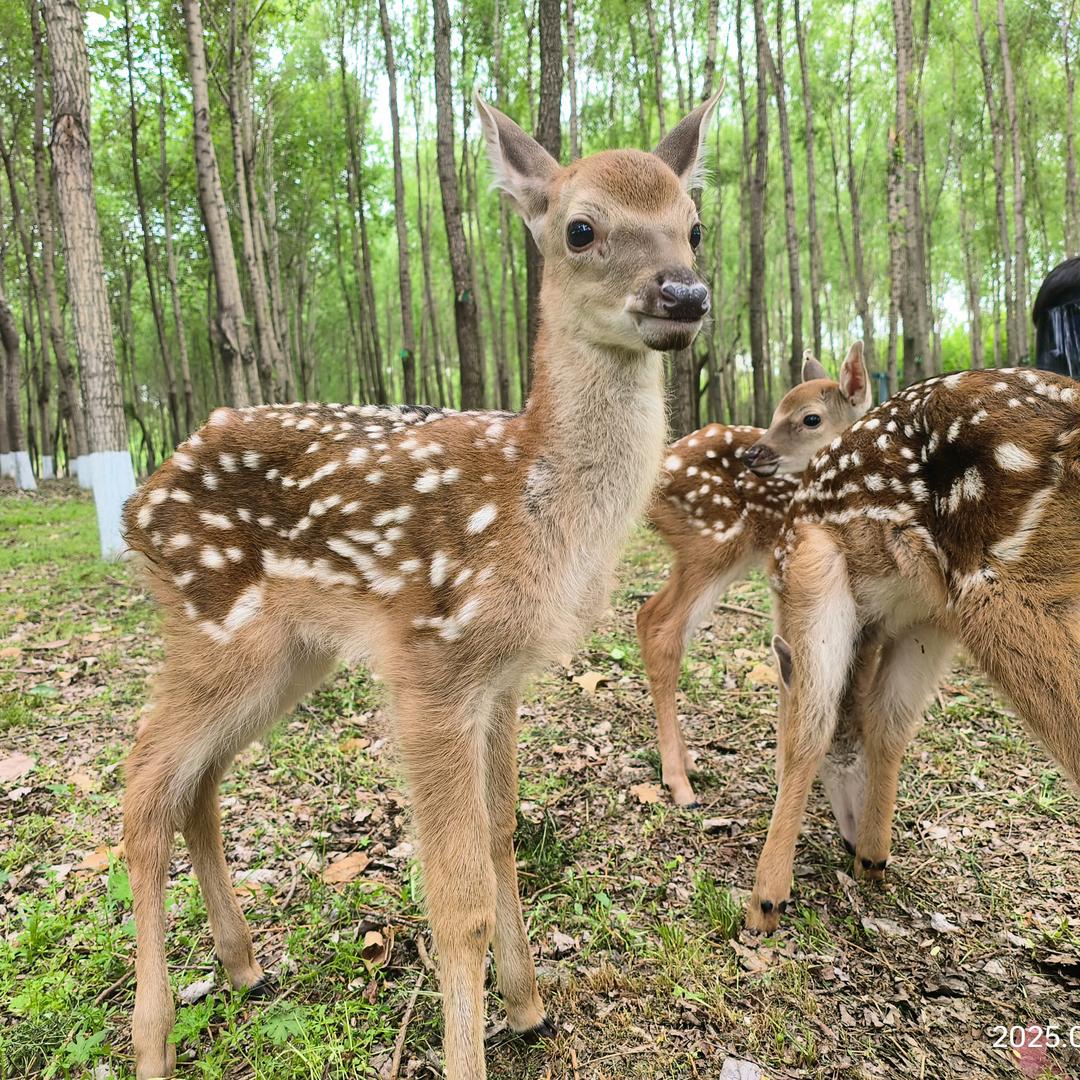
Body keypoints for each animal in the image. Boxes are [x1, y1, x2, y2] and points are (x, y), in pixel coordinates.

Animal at [119, 91, 720, 1080]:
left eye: (695, 226)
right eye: (580, 228)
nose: (683, 295)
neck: (535, 506)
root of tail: (136, 505)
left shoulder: (502, 679)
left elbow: (503, 838)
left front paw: (528, 1008)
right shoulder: (431, 665)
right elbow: (455, 899)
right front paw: (478, 1041)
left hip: (287, 655)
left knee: (195, 786)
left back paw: (245, 966)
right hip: (214, 628)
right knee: (140, 786)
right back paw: (154, 1040)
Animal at [637, 342, 872, 810]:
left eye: (811, 418)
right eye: (778, 408)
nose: (754, 455)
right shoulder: (785, 568)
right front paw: (785, 776)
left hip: (700, 550)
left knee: (647, 615)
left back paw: (687, 760)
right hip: (715, 541)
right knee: (663, 630)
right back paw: (679, 782)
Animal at [744, 364, 1080, 934]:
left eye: (809, 418)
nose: (754, 454)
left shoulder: (811, 561)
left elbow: (811, 728)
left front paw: (765, 901)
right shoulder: (926, 620)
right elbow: (891, 722)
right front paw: (873, 858)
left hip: (1005, 590)